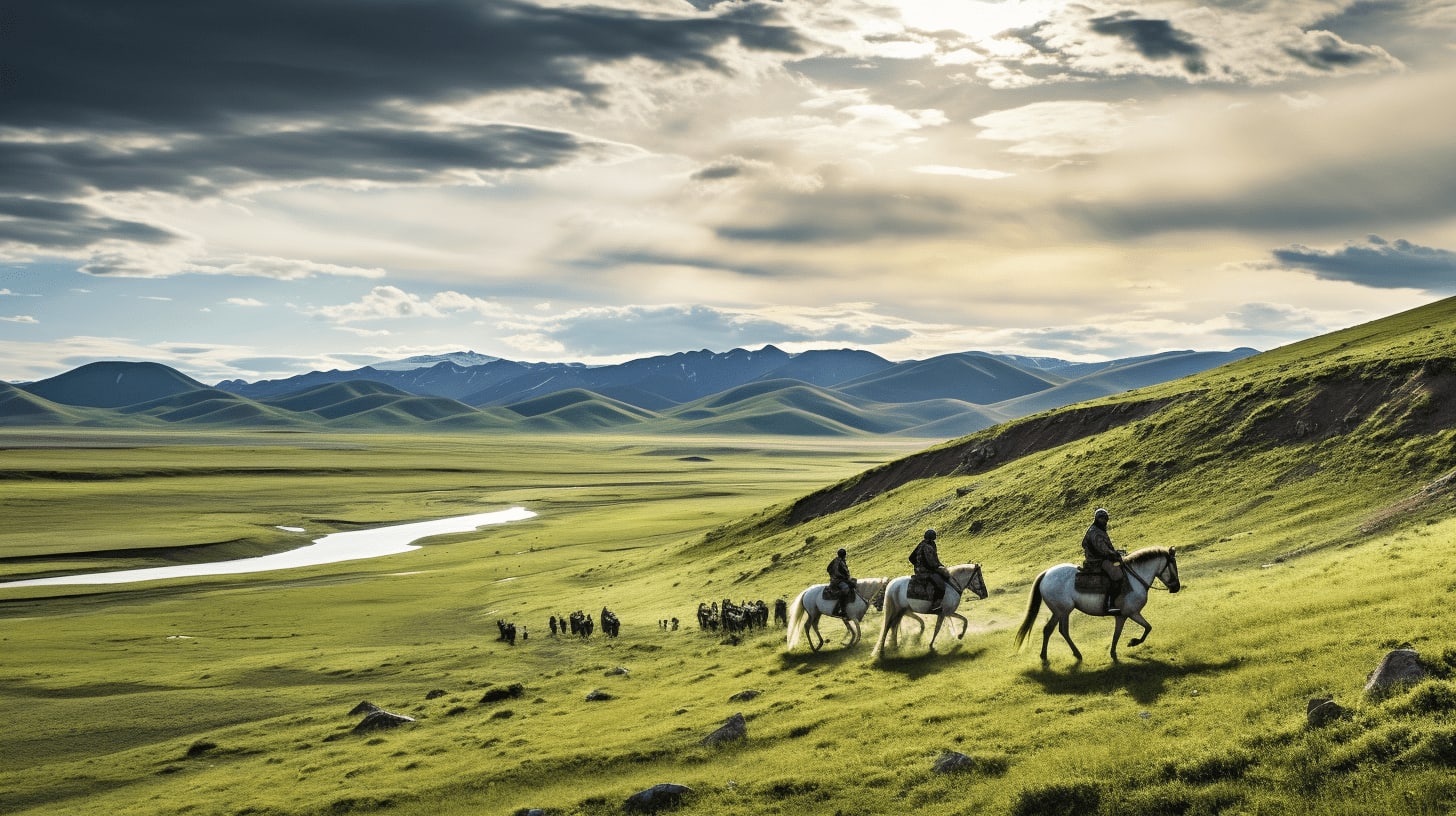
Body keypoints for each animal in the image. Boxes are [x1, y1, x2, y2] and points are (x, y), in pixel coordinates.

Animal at [1013, 542, 1182, 664]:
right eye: (1173, 565)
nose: (1176, 587)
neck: (1135, 578)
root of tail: (1046, 574)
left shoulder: (1122, 616)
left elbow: (1118, 634)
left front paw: (1114, 652)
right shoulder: (1132, 613)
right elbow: (1147, 628)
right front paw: (1132, 642)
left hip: (1059, 612)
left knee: (1051, 630)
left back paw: (1051, 655)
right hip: (1063, 611)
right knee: (1060, 630)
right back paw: (1072, 654)